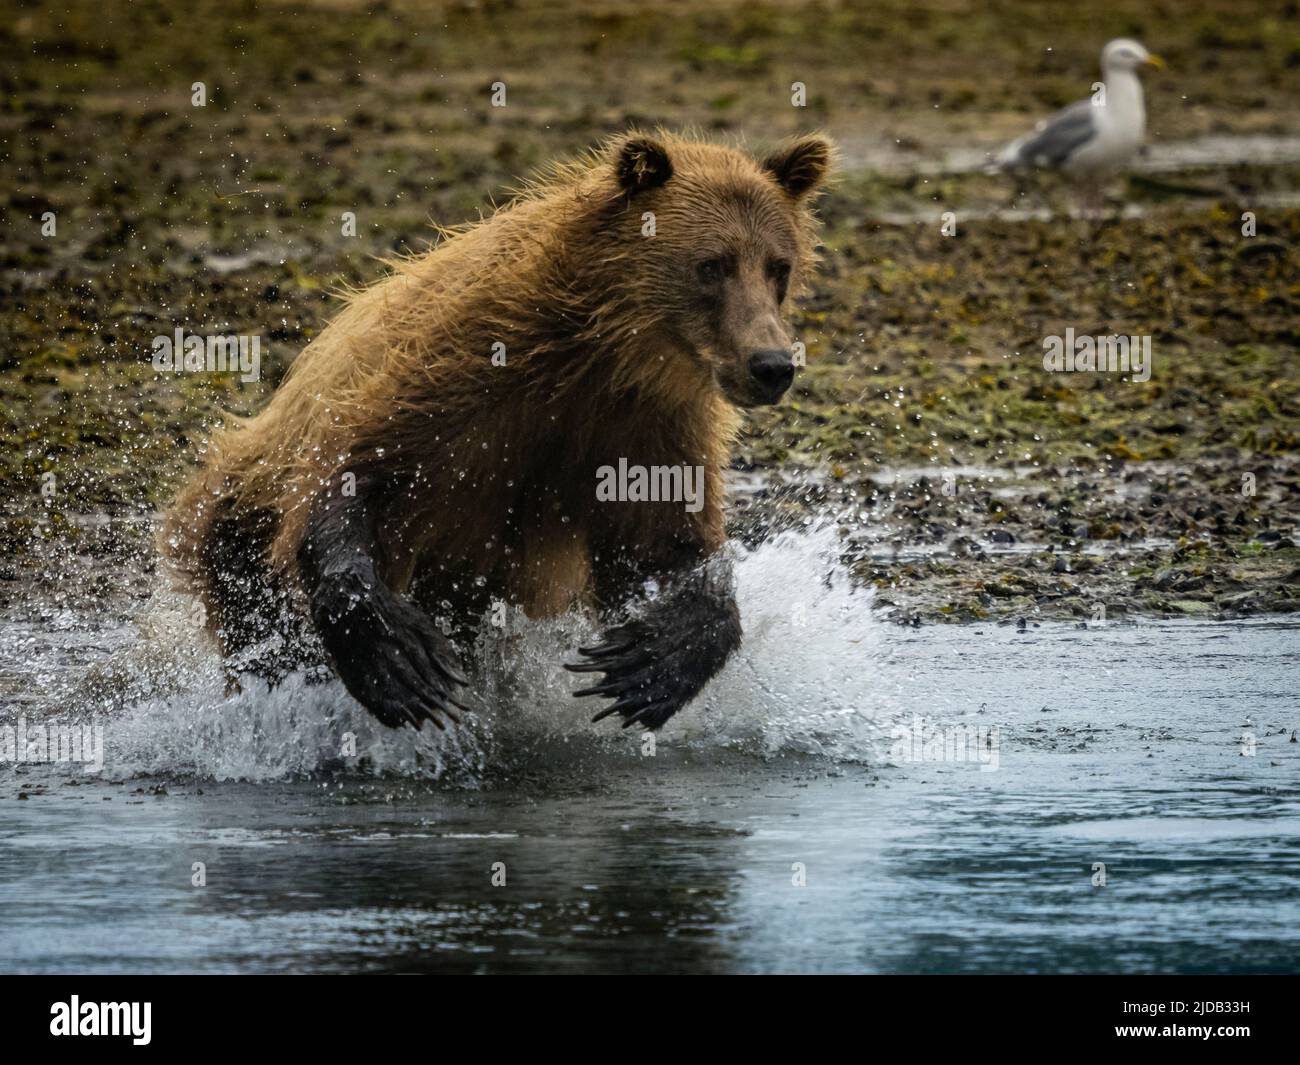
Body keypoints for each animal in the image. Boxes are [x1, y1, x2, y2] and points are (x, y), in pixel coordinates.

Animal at [159, 131, 832, 733]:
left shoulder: (647, 427)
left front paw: (648, 664)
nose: (771, 364)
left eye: (778, 266)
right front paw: (399, 659)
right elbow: (359, 469)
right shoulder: (460, 368)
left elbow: (668, 545)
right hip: (239, 520)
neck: (604, 350)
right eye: (711, 265)